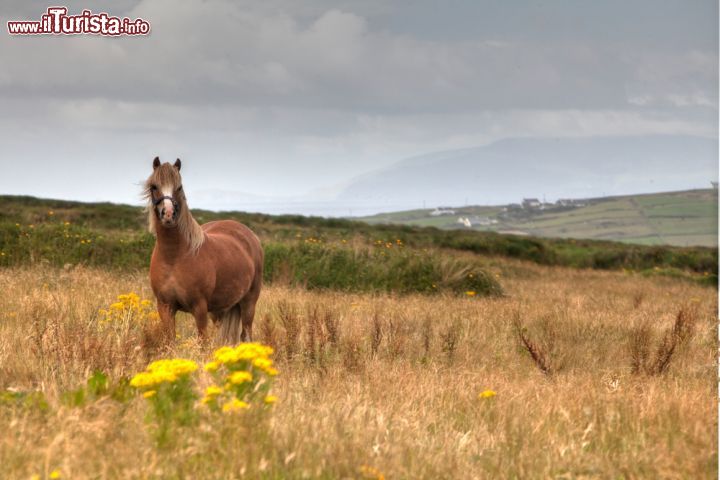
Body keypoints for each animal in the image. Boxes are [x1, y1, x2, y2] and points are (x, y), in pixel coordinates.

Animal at [143, 158, 264, 344]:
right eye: (154, 186)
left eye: (179, 187)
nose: (168, 215)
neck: (174, 257)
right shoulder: (165, 307)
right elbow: (170, 341)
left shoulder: (199, 308)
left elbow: (202, 342)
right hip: (222, 309)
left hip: (248, 303)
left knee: (246, 335)